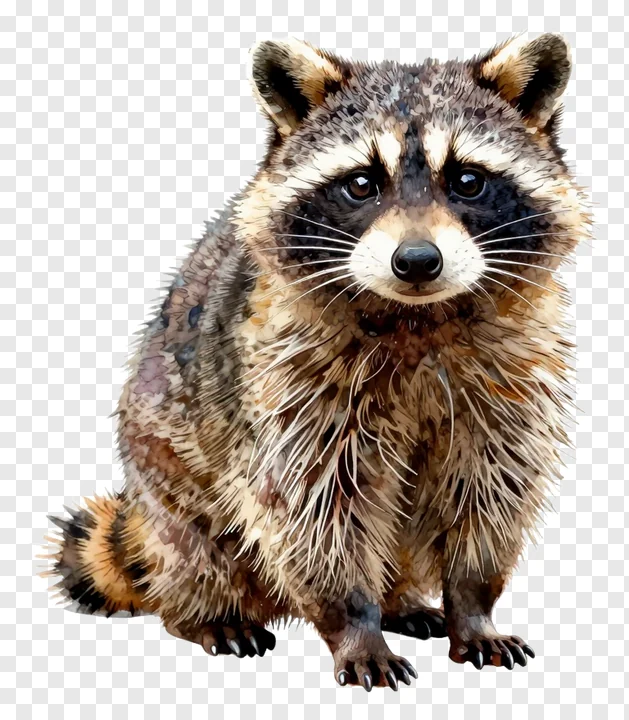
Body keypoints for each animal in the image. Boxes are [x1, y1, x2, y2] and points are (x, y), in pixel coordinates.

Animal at [45, 34, 589, 690]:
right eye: (361, 183)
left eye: (467, 180)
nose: (417, 260)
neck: (416, 316)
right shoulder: (290, 378)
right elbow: (315, 505)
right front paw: (354, 623)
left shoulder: (511, 374)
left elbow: (489, 487)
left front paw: (473, 605)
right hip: (160, 455)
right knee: (192, 541)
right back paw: (208, 610)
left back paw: (400, 600)